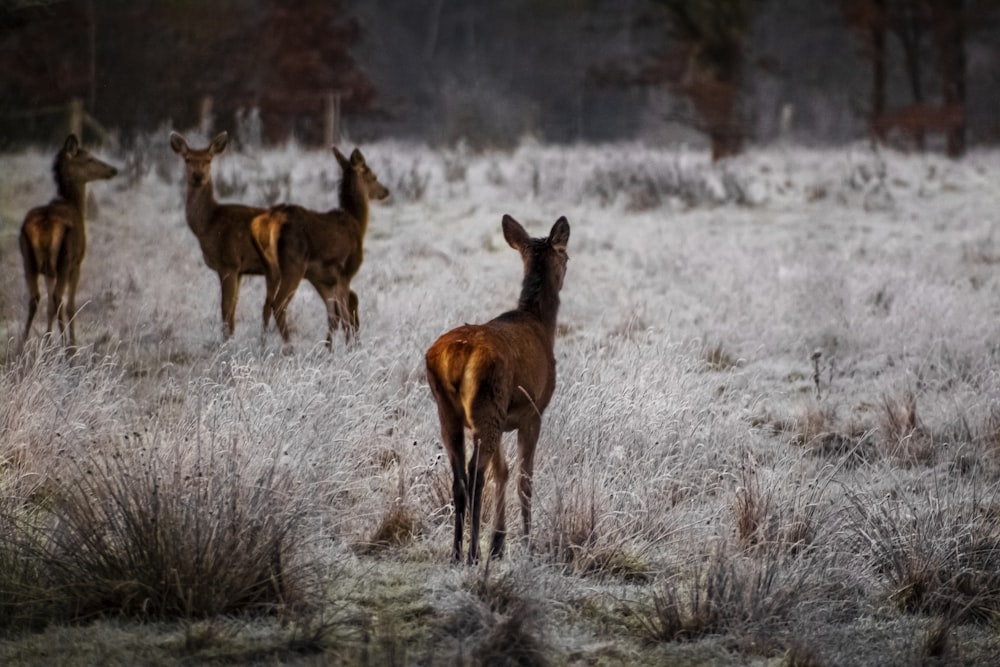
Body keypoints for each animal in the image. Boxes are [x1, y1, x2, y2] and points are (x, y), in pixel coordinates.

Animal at [19, 132, 119, 348]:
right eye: (89, 158)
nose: (113, 170)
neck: (75, 205)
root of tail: (46, 223)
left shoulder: (49, 271)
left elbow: (49, 306)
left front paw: (47, 343)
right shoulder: (77, 263)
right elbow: (71, 305)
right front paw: (70, 343)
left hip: (28, 258)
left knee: (36, 298)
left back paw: (21, 347)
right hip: (65, 258)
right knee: (59, 298)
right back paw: (68, 349)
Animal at [170, 130, 268, 340]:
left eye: (208, 160)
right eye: (187, 159)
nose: (198, 176)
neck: (209, 225)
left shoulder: (229, 262)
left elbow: (226, 309)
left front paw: (225, 342)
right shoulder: (240, 270)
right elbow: (233, 311)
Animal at [250, 144, 390, 348]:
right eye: (373, 176)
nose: (386, 191)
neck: (356, 222)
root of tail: (271, 222)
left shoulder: (323, 279)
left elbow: (333, 316)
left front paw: (329, 349)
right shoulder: (345, 273)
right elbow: (345, 316)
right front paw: (348, 349)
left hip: (270, 268)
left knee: (266, 305)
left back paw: (262, 346)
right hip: (293, 264)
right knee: (278, 304)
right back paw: (290, 348)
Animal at [426, 214, 576, 564]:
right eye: (566, 256)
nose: (567, 269)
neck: (542, 326)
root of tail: (458, 356)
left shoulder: (507, 417)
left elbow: (503, 471)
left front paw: (498, 543)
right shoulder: (533, 411)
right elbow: (524, 478)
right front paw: (525, 542)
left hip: (449, 411)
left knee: (459, 477)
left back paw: (457, 552)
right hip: (487, 403)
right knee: (475, 474)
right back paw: (471, 554)